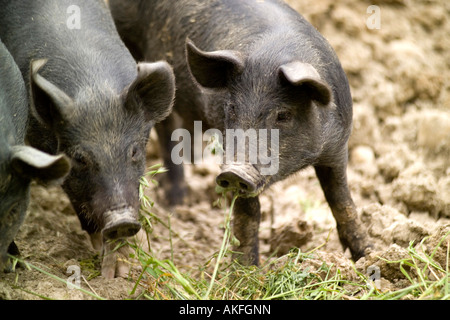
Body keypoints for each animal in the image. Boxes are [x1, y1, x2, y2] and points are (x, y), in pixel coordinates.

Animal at [110, 0, 370, 264]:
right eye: (233, 108)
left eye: (283, 115)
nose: (235, 171)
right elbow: (249, 212)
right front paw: (247, 269)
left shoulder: (338, 148)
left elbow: (342, 201)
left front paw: (367, 256)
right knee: (166, 127)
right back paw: (177, 202)